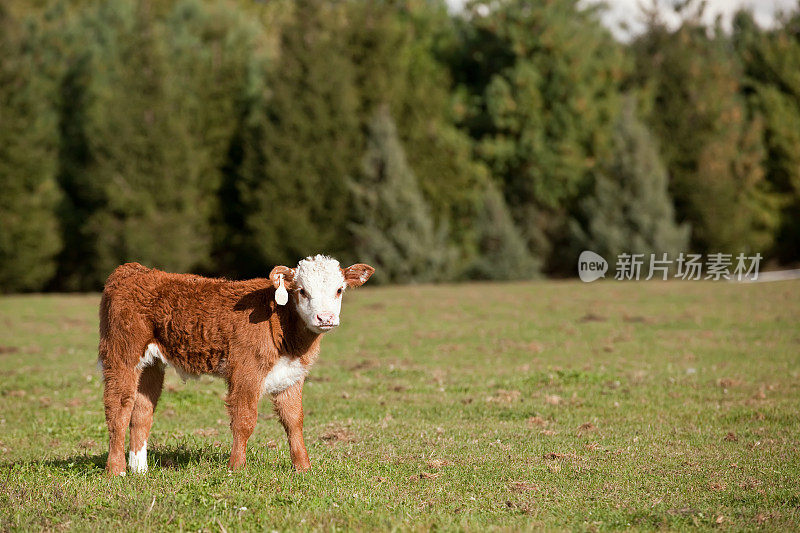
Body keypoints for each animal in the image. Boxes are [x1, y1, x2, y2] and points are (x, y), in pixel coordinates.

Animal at [96, 254, 376, 474]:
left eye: (339, 290)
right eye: (302, 291)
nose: (325, 318)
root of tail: (133, 270)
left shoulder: (292, 375)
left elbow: (294, 420)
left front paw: (303, 468)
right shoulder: (246, 371)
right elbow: (244, 420)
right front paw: (237, 468)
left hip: (151, 365)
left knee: (141, 411)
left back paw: (139, 470)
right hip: (122, 356)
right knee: (118, 409)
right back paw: (117, 470)